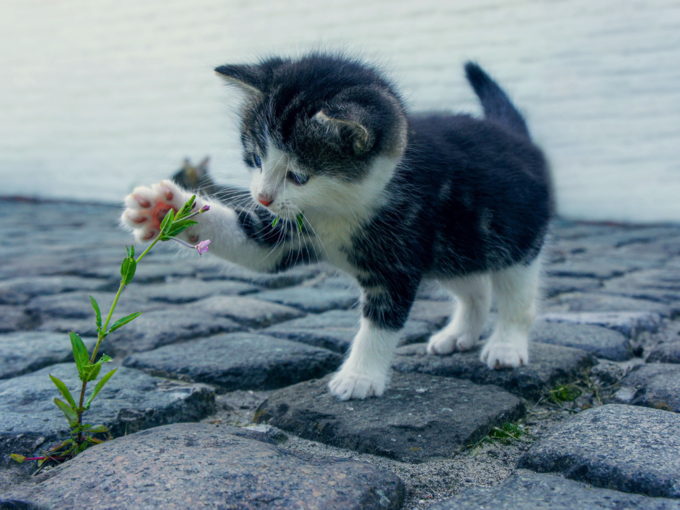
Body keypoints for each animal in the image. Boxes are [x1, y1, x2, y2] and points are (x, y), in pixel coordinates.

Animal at [122, 52, 552, 402]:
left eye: (298, 175)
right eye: (256, 158)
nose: (262, 197)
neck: (339, 208)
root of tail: (515, 136)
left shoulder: (399, 255)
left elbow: (381, 321)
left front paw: (359, 377)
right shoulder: (288, 230)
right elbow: (253, 245)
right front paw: (164, 209)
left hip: (514, 238)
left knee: (516, 295)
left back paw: (506, 345)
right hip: (454, 247)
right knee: (474, 286)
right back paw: (459, 333)